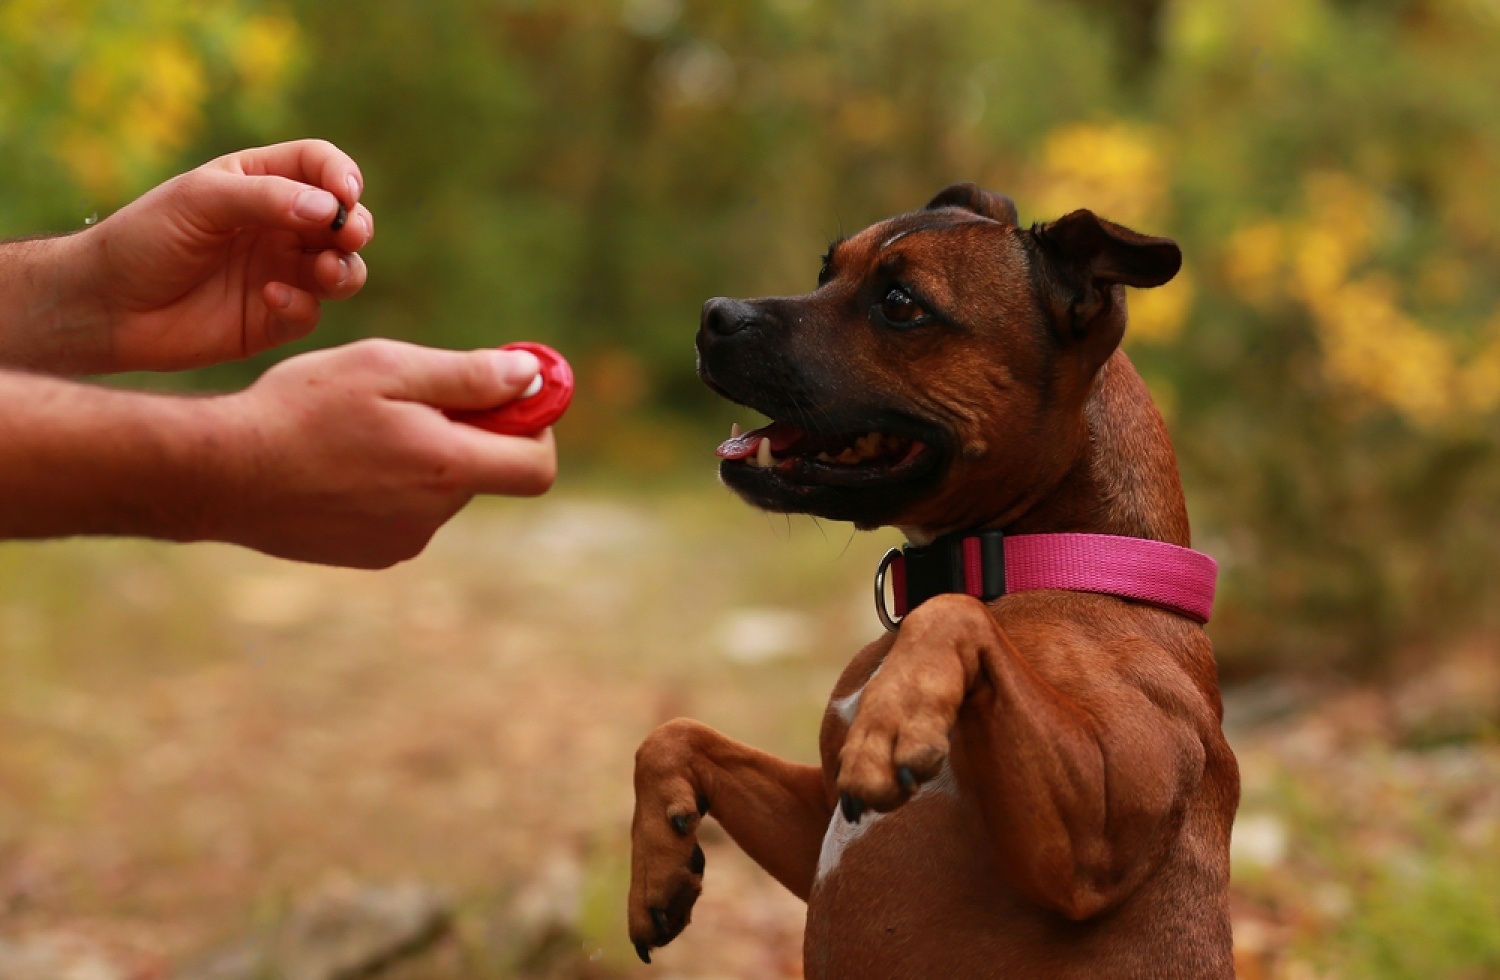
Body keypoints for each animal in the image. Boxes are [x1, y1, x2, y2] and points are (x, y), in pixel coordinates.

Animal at [627, 185, 1236, 978]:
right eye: (827, 269)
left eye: (900, 304)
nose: (714, 316)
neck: (1042, 558)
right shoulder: (818, 815)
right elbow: (674, 733)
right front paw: (657, 862)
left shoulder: (1096, 835)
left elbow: (948, 615)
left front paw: (896, 717)